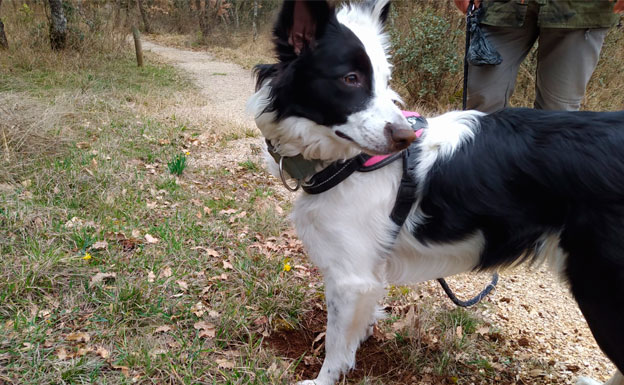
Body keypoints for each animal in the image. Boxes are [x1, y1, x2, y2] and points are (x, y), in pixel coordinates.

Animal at [247, 0, 624, 384]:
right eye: (350, 79)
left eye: (384, 81)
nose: (404, 137)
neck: (348, 161)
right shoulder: (367, 273)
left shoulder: (349, 279)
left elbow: (336, 343)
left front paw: (324, 377)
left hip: (602, 290)